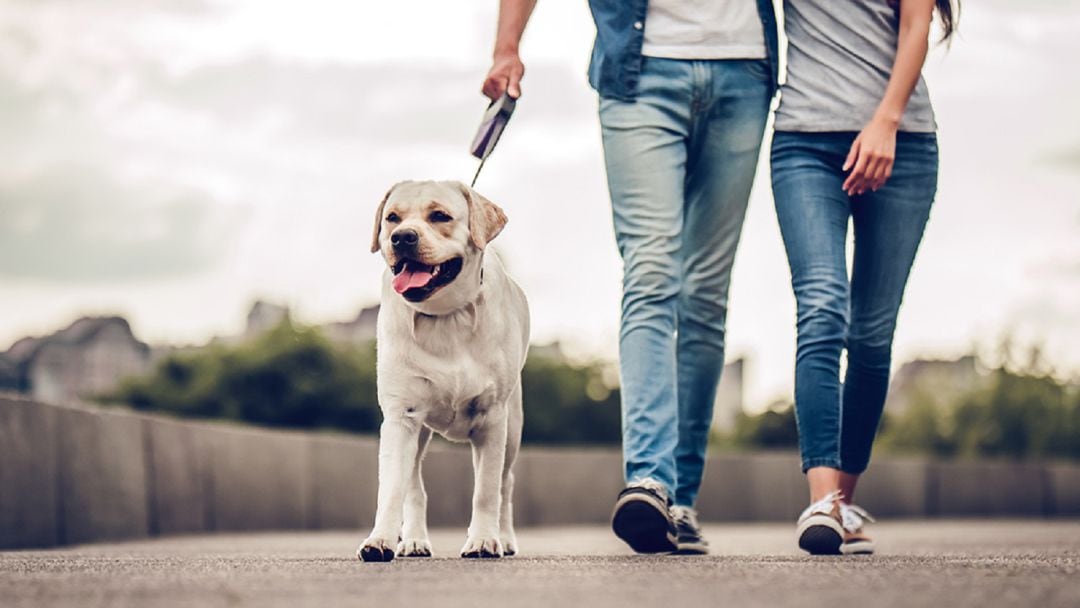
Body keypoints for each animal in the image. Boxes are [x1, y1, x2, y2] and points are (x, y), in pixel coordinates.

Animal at [358, 179, 531, 561]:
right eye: (392, 218)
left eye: (440, 216)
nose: (403, 237)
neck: (445, 317)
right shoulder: (401, 417)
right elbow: (392, 489)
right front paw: (380, 540)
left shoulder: (492, 418)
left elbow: (486, 490)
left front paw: (483, 540)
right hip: (419, 432)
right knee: (414, 488)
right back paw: (413, 540)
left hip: (513, 426)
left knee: (507, 484)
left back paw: (505, 537)